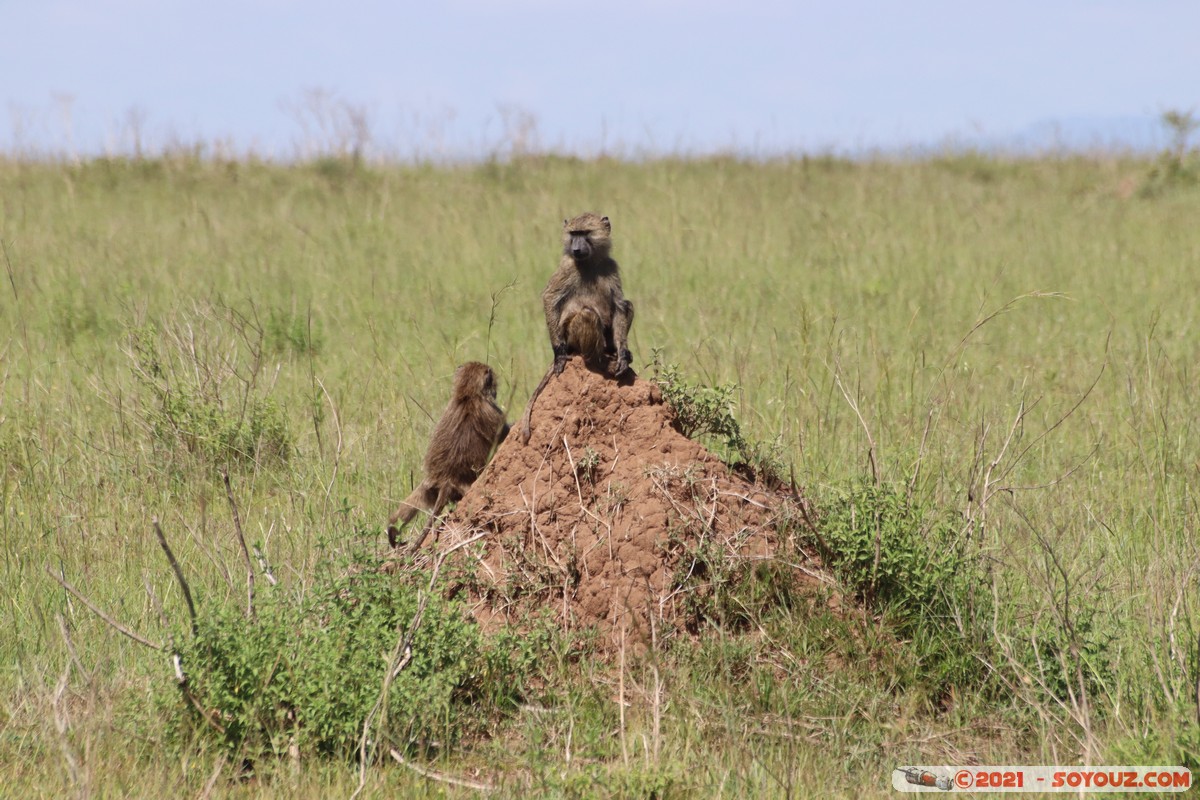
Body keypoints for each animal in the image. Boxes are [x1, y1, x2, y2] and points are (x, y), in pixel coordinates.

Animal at [387, 361, 510, 553]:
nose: (496, 390)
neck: (466, 395)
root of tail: (447, 480)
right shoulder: (493, 412)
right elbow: (505, 433)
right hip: (465, 489)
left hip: (431, 487)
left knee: (415, 499)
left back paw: (392, 530)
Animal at [519, 212, 634, 443]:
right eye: (574, 234)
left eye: (585, 233)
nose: (576, 249)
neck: (590, 262)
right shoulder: (567, 266)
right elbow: (550, 298)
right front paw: (559, 355)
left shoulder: (611, 266)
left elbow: (619, 306)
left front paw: (623, 355)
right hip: (572, 338)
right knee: (588, 315)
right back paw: (598, 362)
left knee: (628, 305)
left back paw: (614, 353)